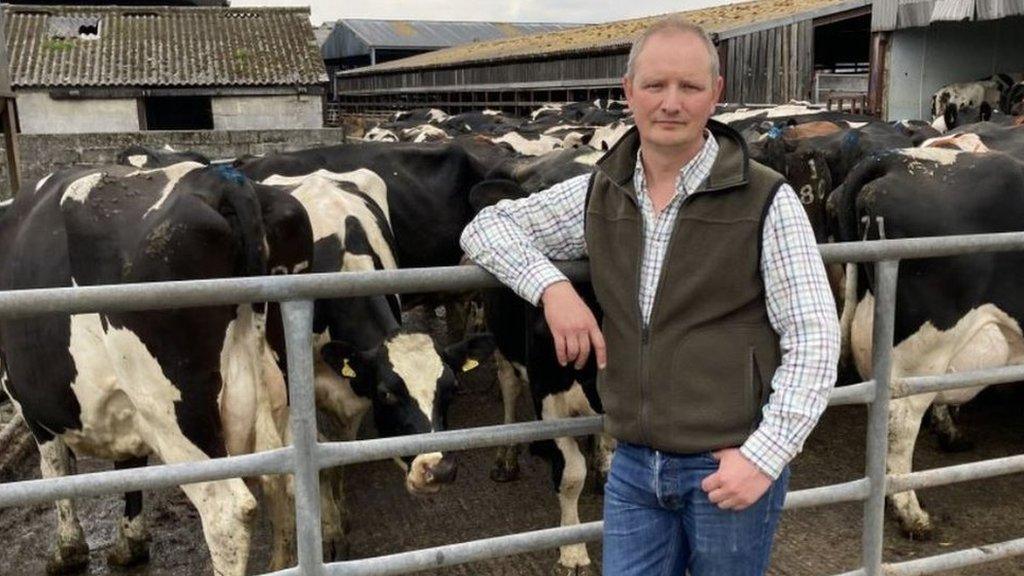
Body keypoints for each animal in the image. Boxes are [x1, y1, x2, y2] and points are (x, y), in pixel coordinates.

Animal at [0, 162, 307, 573]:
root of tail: (221, 179)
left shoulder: (31, 403)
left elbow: (56, 473)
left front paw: (67, 550)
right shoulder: (122, 407)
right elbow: (129, 471)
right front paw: (129, 543)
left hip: (177, 413)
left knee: (227, 513)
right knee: (285, 486)